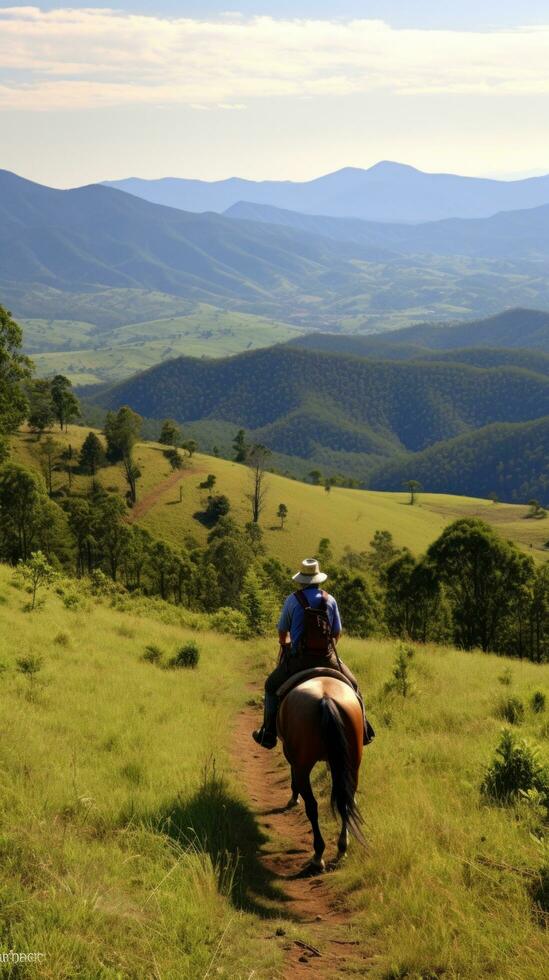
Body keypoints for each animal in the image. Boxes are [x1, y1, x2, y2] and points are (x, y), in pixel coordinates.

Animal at [278, 672, 364, 872]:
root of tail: (326, 698)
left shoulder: (291, 755)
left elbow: (293, 777)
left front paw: (293, 798)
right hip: (352, 764)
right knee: (346, 801)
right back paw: (342, 847)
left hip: (303, 765)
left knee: (312, 806)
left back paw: (318, 856)